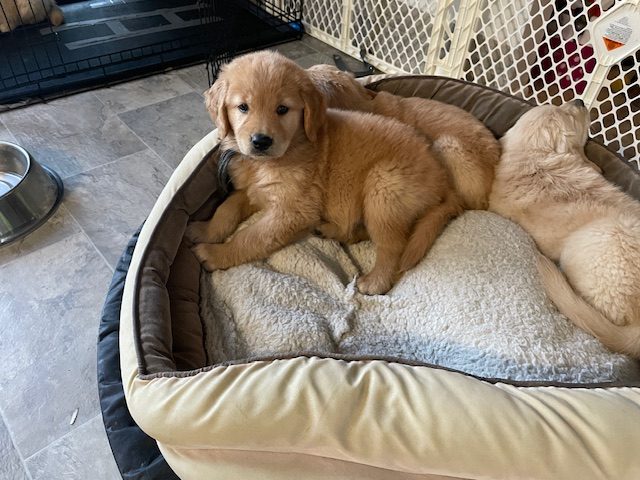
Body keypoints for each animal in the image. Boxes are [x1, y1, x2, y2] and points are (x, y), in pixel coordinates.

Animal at [188, 50, 462, 294]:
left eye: (282, 109)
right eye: (243, 107)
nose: (260, 141)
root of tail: (444, 181)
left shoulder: (293, 211)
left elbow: (251, 237)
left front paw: (215, 253)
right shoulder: (252, 191)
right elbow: (226, 210)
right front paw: (204, 231)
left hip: (383, 187)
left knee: (392, 246)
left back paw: (375, 282)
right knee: (362, 232)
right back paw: (331, 230)